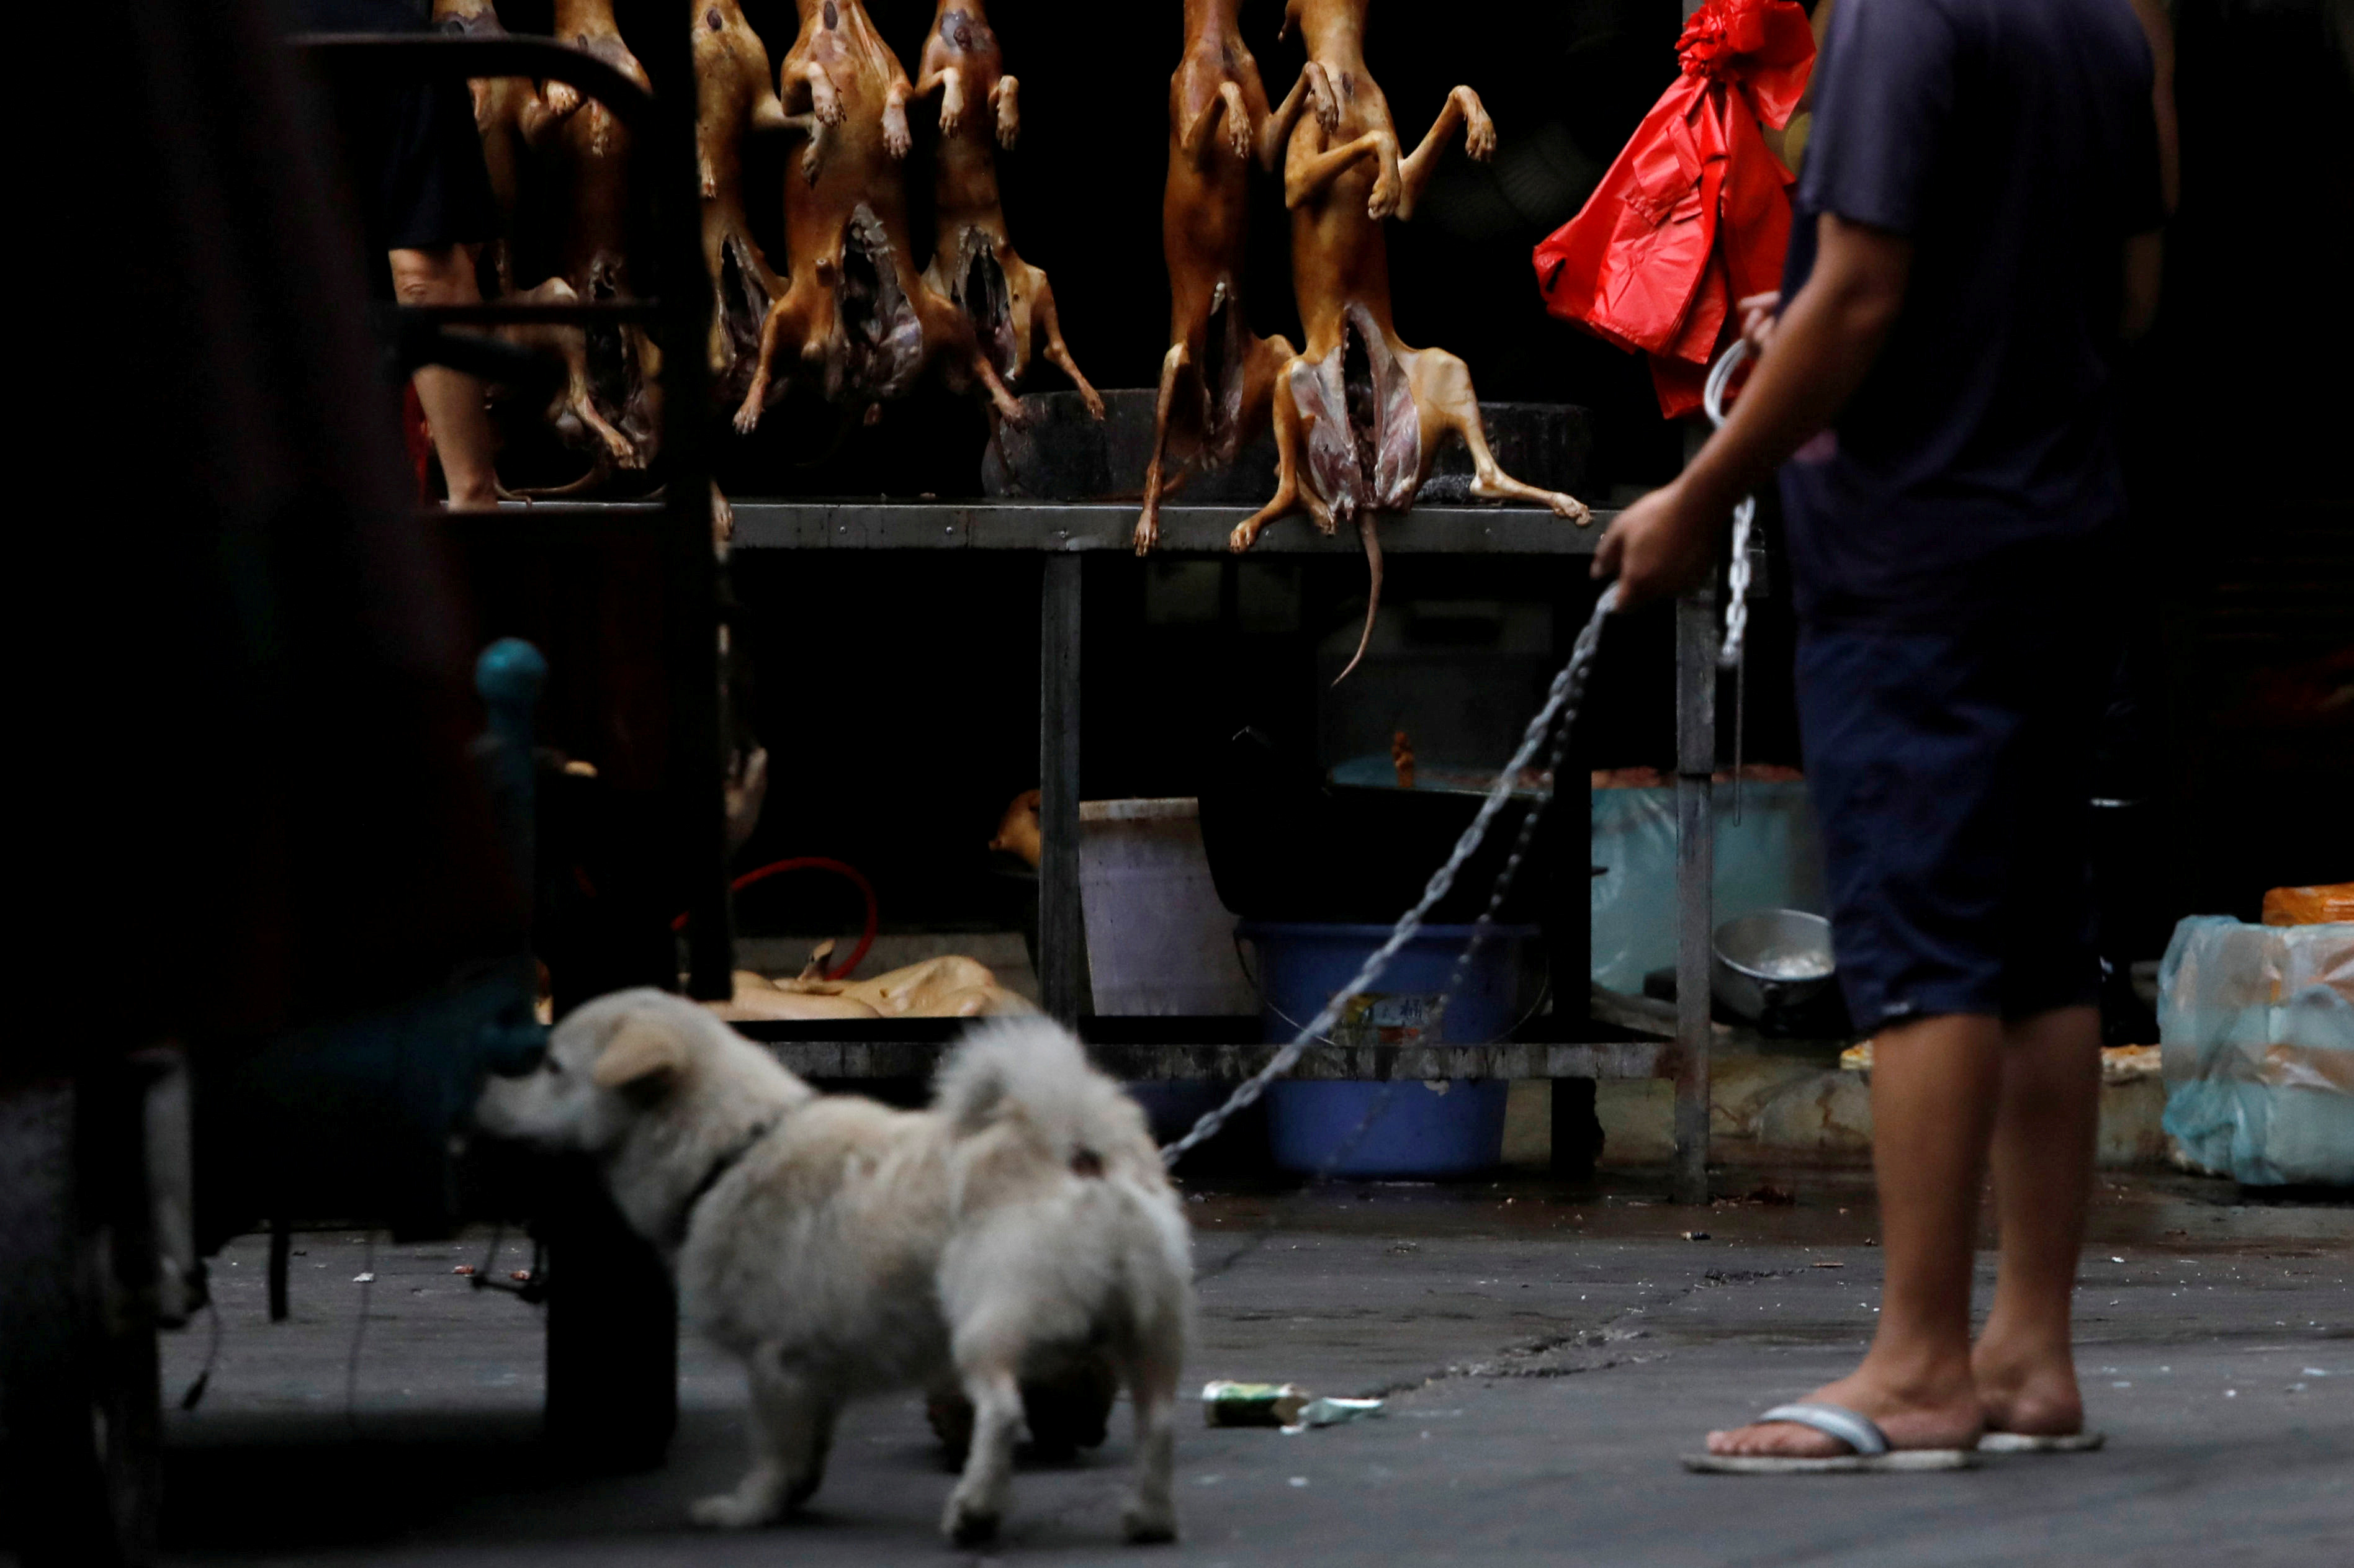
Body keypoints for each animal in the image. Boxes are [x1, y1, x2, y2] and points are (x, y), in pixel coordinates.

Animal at [473, 988, 1195, 1534]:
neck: (729, 1151)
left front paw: (747, 1509)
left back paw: (975, 1512)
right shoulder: (816, 1373)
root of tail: (1075, 1143)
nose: (479, 1092)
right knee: (1159, 1421)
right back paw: (1148, 1517)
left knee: (1002, 1411)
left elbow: (771, 1447)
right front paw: (792, 1496)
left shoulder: (775, 1363)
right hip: (1150, 1331)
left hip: (986, 1322)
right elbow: (807, 1453)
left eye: (551, 1066)